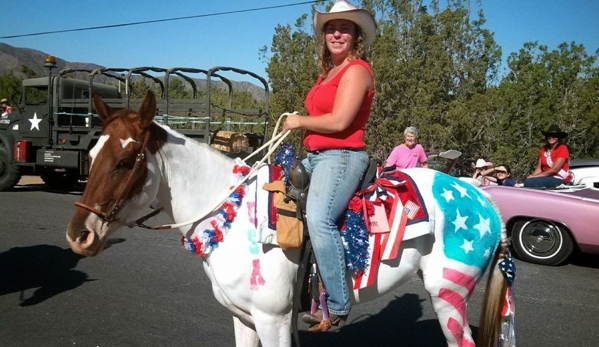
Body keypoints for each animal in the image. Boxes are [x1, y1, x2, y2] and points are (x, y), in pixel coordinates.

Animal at [67, 92, 516, 347]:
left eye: (126, 161)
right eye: (92, 154)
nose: (78, 236)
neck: (234, 218)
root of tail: (483, 199)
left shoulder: (275, 320)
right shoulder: (244, 319)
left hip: (449, 295)